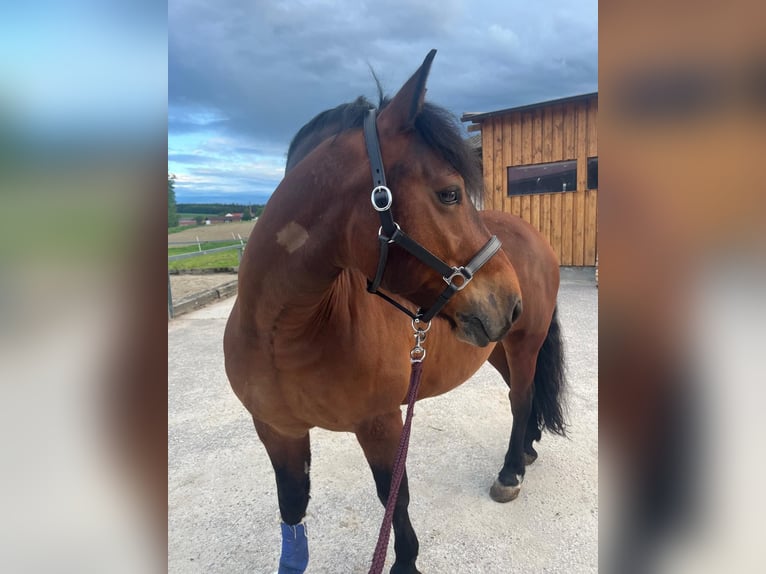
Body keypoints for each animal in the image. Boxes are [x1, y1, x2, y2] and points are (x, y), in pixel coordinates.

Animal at [225, 50, 568, 574]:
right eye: (449, 193)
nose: (509, 301)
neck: (285, 333)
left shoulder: (382, 424)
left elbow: (394, 499)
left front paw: (405, 562)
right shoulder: (278, 432)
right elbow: (292, 509)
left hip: (523, 342)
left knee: (521, 398)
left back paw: (510, 471)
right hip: (498, 347)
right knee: (521, 396)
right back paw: (526, 451)